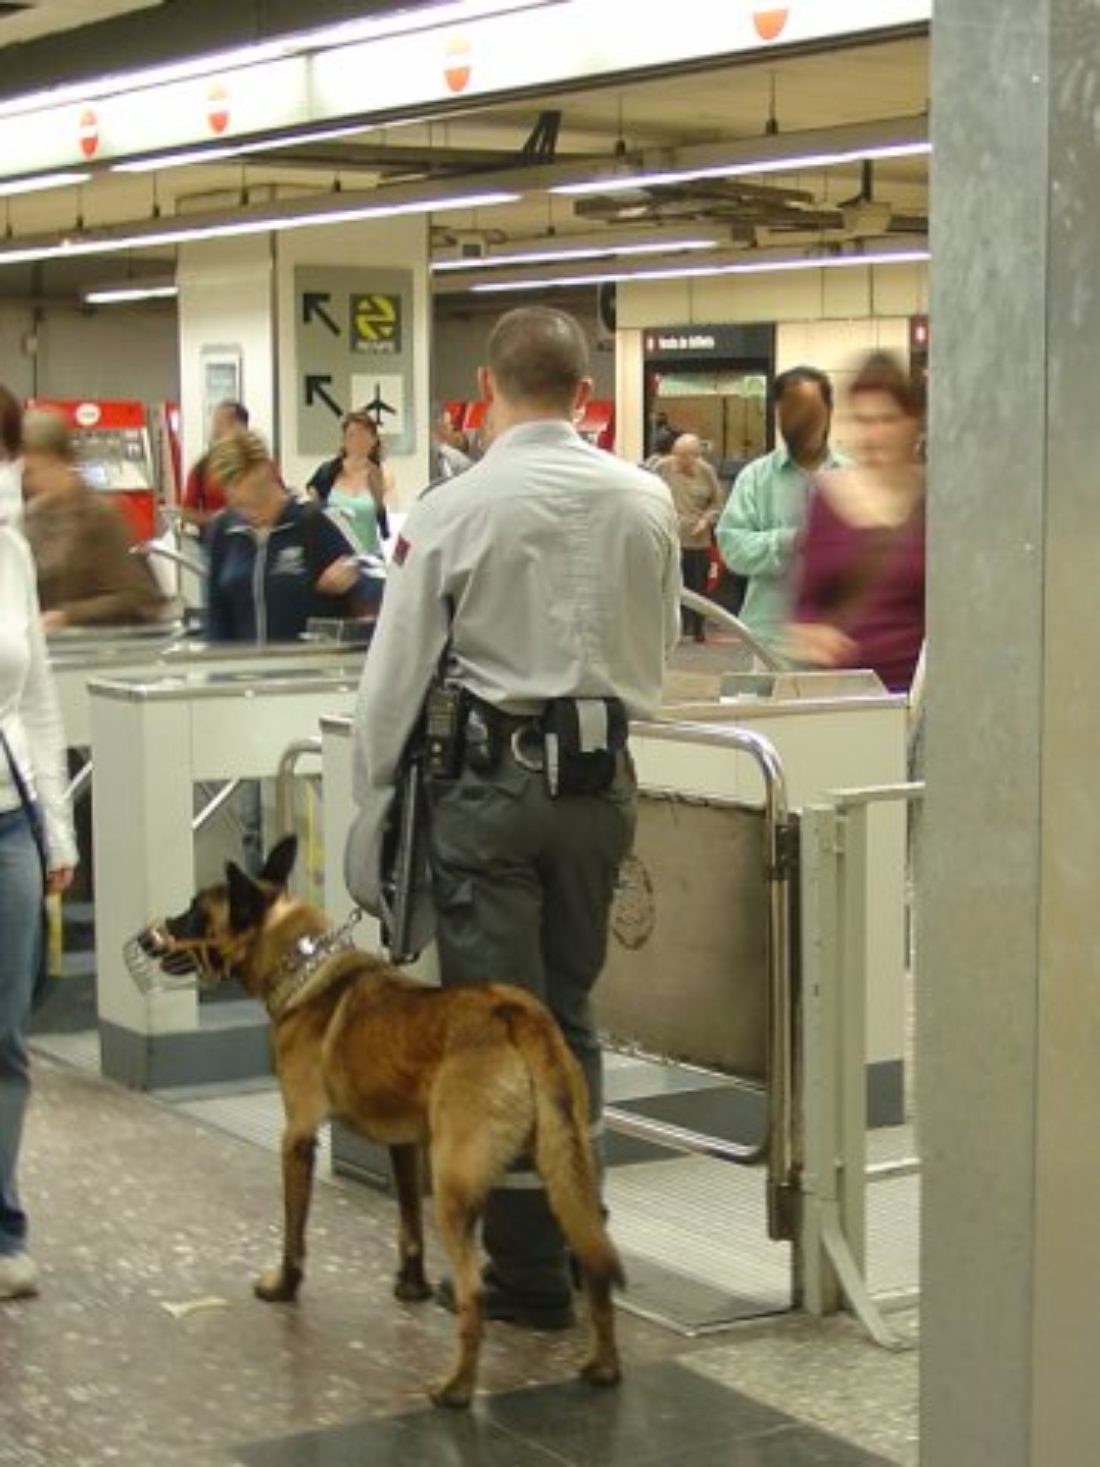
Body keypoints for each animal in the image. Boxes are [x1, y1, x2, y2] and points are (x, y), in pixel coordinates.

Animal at [133, 839, 624, 1408]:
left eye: (194, 911)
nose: (146, 936)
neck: (302, 963)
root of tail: (515, 1013)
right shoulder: (405, 1146)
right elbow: (408, 1224)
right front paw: (410, 1286)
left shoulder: (297, 1137)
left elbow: (293, 1232)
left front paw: (284, 1286)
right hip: (568, 1172)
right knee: (594, 1260)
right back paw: (604, 1364)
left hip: (455, 1187)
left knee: (474, 1295)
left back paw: (457, 1387)